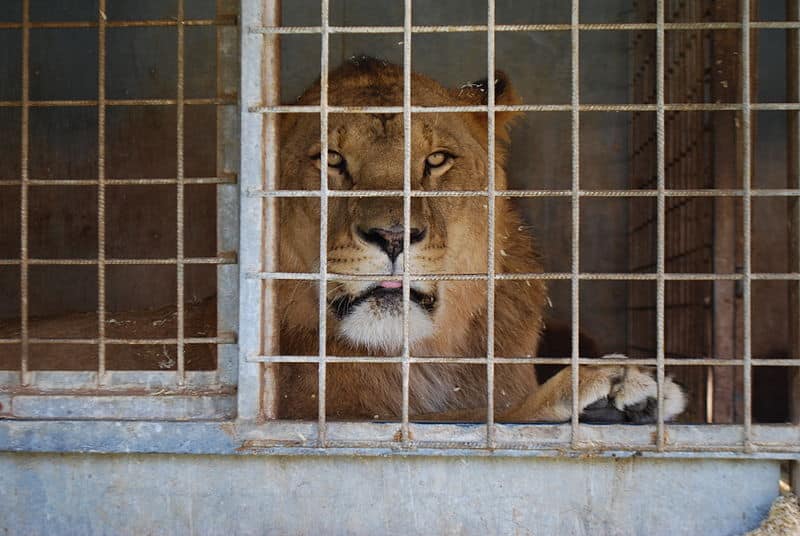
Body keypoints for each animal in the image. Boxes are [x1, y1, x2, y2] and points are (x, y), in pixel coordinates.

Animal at [272, 56, 684, 420]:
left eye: (436, 160)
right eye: (331, 159)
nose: (393, 236)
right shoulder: (301, 411)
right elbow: (477, 415)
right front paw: (592, 385)